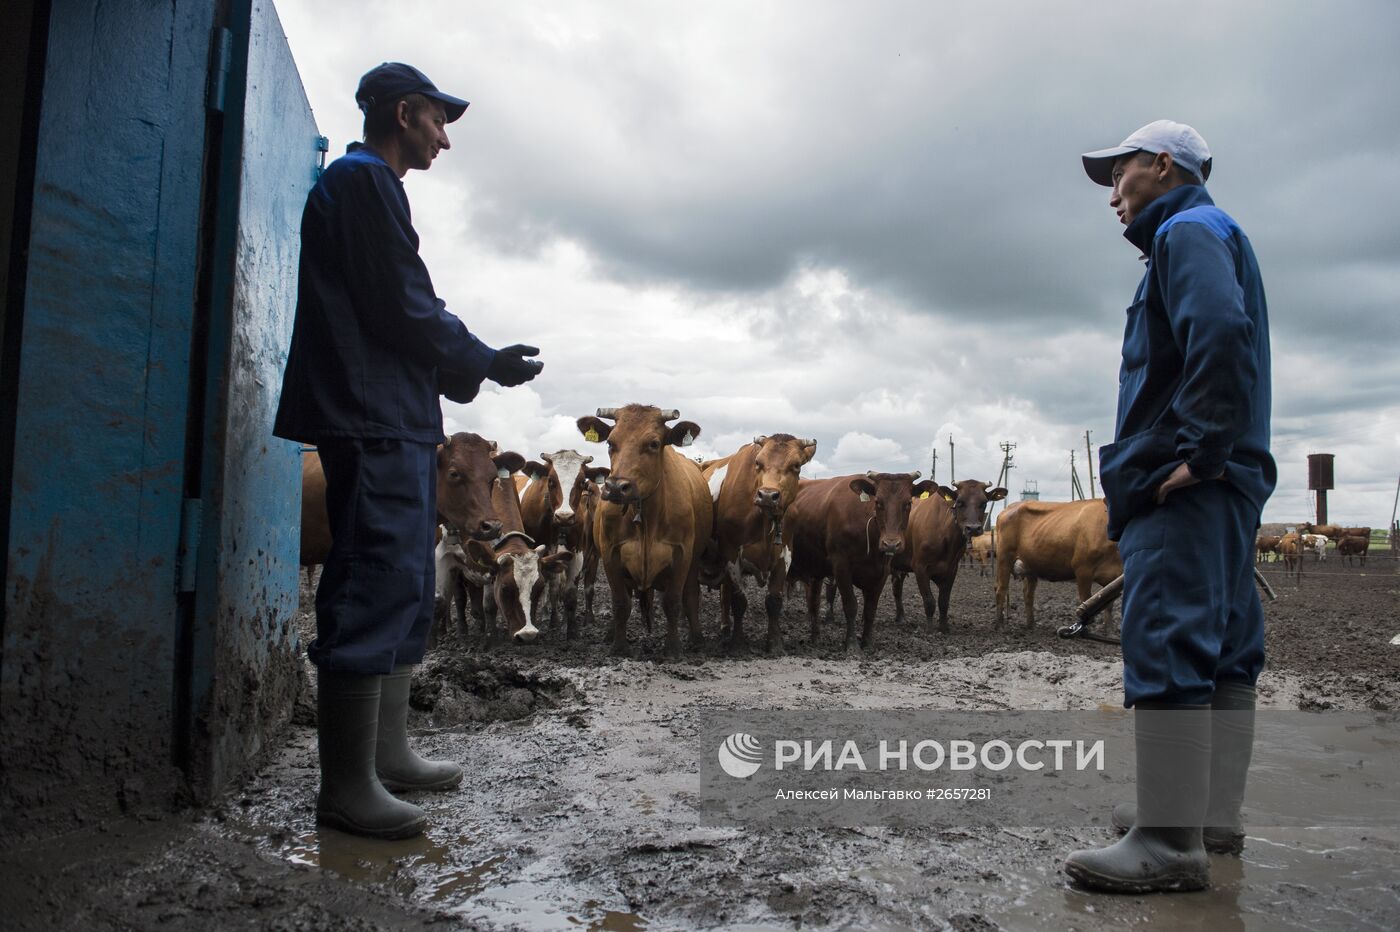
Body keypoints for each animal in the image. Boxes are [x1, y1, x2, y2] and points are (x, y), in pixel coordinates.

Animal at [518, 447, 610, 635]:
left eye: (582, 482)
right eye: (551, 481)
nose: (565, 516)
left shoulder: (580, 553)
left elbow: (574, 592)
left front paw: (573, 627)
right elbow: (546, 587)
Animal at [576, 403, 716, 657]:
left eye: (653, 443)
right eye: (610, 442)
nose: (615, 488)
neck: (645, 518)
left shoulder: (682, 555)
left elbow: (673, 602)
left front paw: (673, 649)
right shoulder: (610, 554)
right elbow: (620, 602)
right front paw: (619, 646)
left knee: (691, 596)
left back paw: (697, 638)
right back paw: (611, 633)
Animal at [705, 431, 817, 649]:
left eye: (796, 465)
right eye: (758, 462)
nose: (767, 495)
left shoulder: (784, 555)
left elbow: (774, 601)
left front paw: (774, 643)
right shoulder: (731, 554)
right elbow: (739, 601)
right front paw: (738, 642)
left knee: (724, 593)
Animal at [896, 478, 1008, 632]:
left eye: (984, 502)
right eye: (959, 502)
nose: (973, 528)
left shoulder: (951, 569)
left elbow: (943, 601)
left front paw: (944, 627)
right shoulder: (920, 567)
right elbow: (929, 601)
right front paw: (929, 629)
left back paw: (901, 618)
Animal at [991, 498, 1120, 626]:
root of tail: (1009, 507)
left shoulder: (1113, 578)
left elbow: (1109, 608)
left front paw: (1108, 630)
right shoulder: (1083, 570)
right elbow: (1086, 603)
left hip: (1030, 565)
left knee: (1028, 594)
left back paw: (1031, 625)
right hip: (1004, 558)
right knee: (1001, 589)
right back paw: (1000, 624)